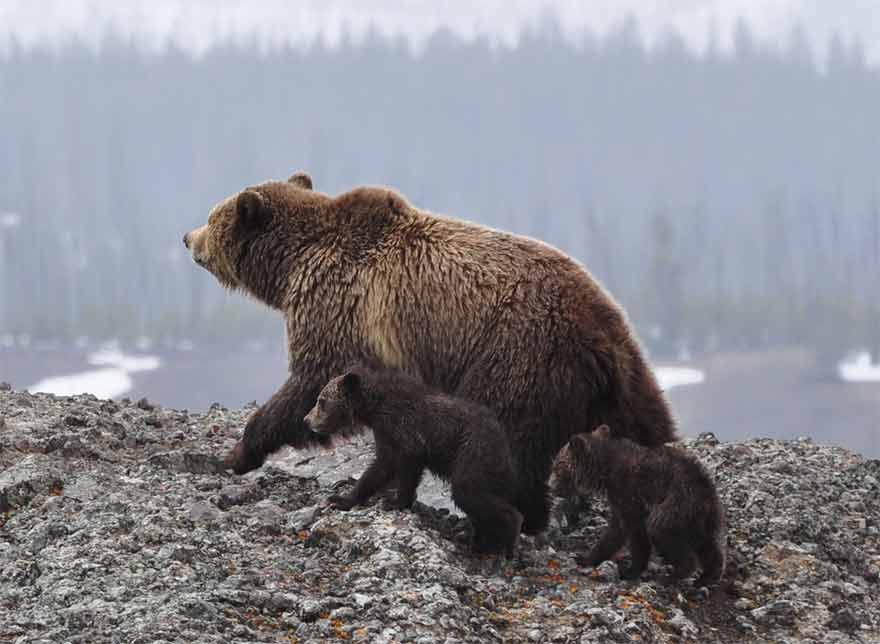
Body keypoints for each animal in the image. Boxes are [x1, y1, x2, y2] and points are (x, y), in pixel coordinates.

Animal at [184, 170, 680, 532]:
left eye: (212, 215)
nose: (187, 237)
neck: (292, 266)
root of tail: (599, 334)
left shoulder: (336, 307)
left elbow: (310, 381)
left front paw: (240, 451)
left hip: (517, 355)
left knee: (510, 439)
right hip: (624, 374)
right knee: (649, 426)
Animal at [304, 364, 524, 556]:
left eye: (321, 401)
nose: (307, 420)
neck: (375, 407)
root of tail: (505, 447)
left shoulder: (405, 430)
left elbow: (403, 466)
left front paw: (394, 501)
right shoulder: (386, 434)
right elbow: (380, 468)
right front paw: (340, 499)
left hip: (473, 453)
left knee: (469, 492)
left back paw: (507, 540)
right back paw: (481, 542)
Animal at [560, 426, 724, 588]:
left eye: (557, 463)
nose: (554, 486)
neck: (604, 469)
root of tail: (707, 494)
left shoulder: (625, 490)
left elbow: (629, 530)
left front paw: (628, 570)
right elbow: (618, 529)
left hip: (677, 503)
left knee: (660, 530)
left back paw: (673, 575)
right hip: (701, 518)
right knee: (707, 544)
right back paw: (707, 576)